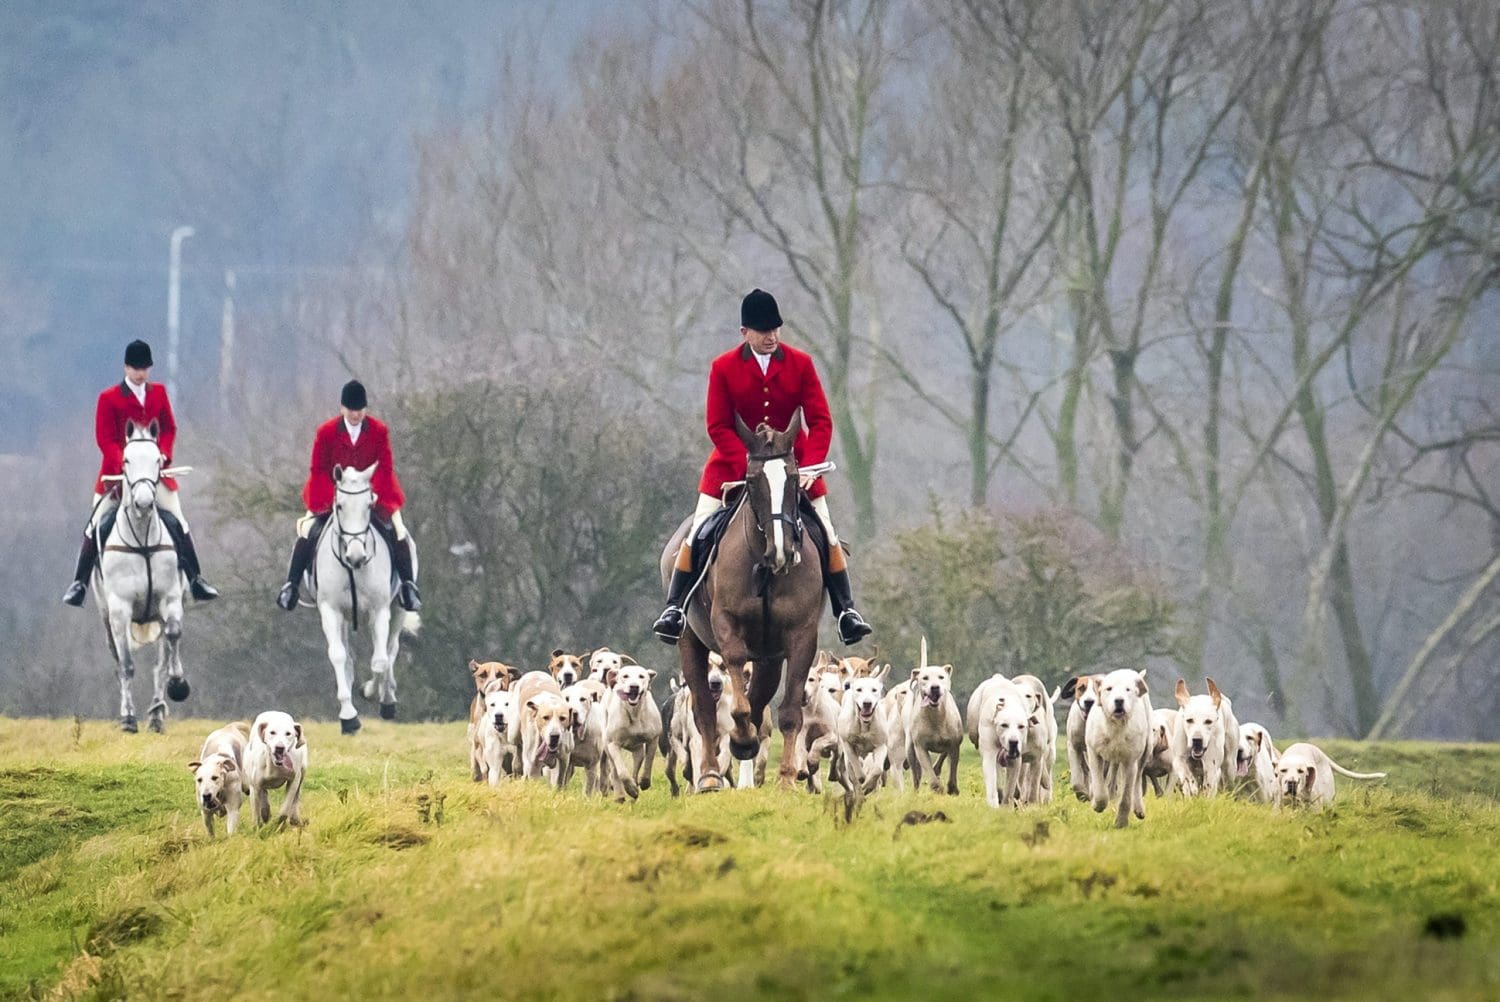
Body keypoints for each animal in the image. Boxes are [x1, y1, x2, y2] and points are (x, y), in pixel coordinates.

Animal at [93, 420, 189, 732]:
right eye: (126, 460)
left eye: (158, 460)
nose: (145, 502)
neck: (143, 540)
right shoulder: (119, 610)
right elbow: (126, 665)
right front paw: (128, 719)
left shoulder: (170, 599)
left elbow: (172, 638)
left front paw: (178, 685)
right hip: (106, 616)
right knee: (118, 660)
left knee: (161, 659)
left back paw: (157, 715)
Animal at [298, 465, 420, 735]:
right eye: (339, 505)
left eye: (368, 505)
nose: (356, 556)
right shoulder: (331, 611)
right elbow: (339, 656)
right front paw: (348, 717)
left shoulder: (380, 609)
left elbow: (380, 661)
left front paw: (371, 691)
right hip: (345, 618)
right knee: (351, 658)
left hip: (398, 609)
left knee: (391, 649)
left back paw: (388, 698)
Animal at [657, 408, 822, 792]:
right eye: (752, 479)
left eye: (794, 478)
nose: (781, 551)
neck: (765, 569)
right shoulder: (728, 628)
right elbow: (737, 706)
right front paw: (741, 741)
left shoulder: (801, 636)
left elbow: (787, 712)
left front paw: (787, 778)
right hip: (689, 641)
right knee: (703, 708)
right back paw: (709, 775)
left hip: (769, 657)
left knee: (760, 701)